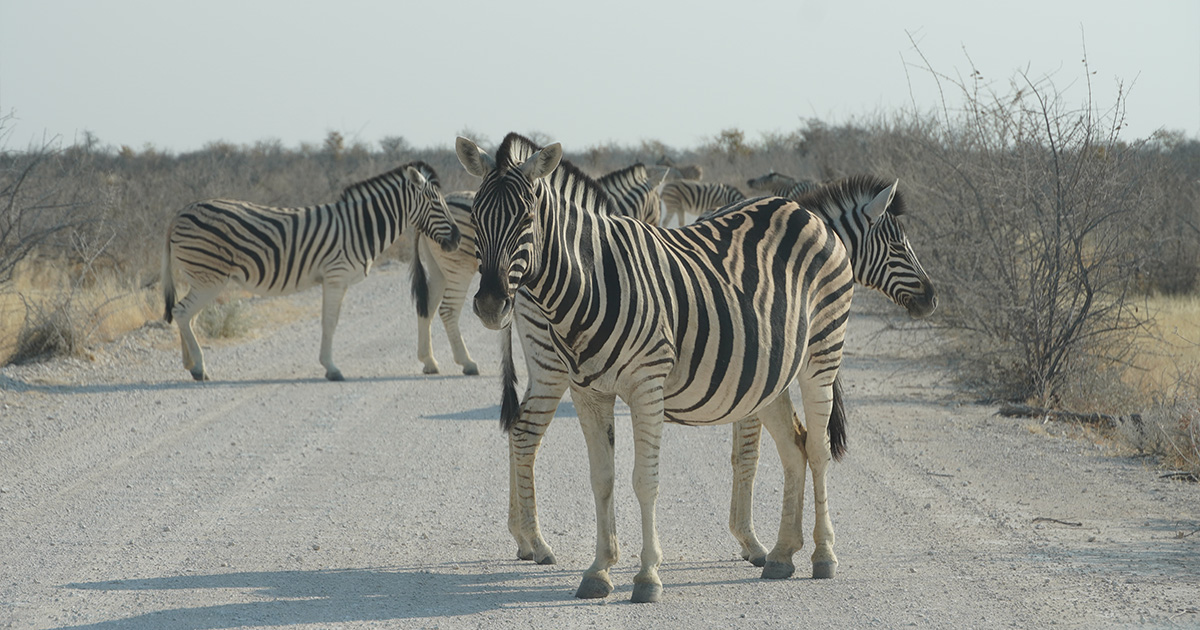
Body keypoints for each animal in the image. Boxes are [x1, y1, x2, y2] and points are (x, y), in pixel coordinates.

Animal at [160, 159, 458, 381]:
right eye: (436, 203)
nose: (456, 240)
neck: (361, 227)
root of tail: (179, 213)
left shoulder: (334, 279)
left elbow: (330, 321)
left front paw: (329, 366)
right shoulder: (336, 277)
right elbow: (330, 322)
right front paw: (332, 369)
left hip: (200, 277)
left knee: (187, 316)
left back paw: (190, 364)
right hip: (210, 278)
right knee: (182, 312)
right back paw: (200, 368)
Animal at [412, 160, 667, 374]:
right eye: (657, 205)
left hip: (438, 267)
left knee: (428, 307)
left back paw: (429, 361)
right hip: (459, 267)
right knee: (447, 309)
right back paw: (466, 362)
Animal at [451, 132, 926, 604]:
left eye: (527, 217)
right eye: (475, 216)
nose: (491, 305)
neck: (590, 282)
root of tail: (804, 213)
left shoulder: (647, 385)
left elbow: (648, 479)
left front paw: (648, 576)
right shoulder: (589, 391)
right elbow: (603, 479)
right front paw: (599, 570)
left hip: (820, 355)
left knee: (819, 448)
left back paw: (823, 555)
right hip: (769, 374)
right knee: (797, 448)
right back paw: (781, 555)